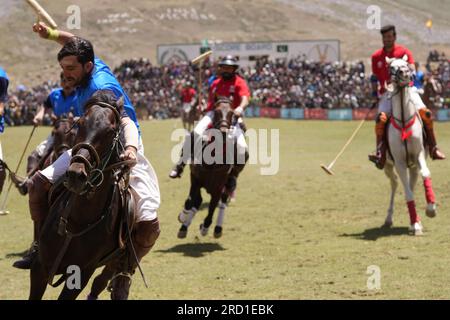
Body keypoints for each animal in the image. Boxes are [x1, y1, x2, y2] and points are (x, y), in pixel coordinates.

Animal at [29, 92, 135, 300]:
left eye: (111, 131)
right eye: (80, 124)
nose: (76, 174)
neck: (77, 220)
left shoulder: (82, 274)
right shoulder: (39, 268)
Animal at [177, 99, 244, 239]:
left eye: (231, 113)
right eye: (216, 111)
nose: (223, 131)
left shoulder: (218, 186)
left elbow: (213, 206)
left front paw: (205, 227)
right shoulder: (195, 179)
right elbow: (190, 201)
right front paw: (183, 217)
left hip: (228, 182)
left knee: (223, 200)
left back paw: (217, 228)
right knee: (198, 201)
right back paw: (184, 226)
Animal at [384, 55, 436, 235]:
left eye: (406, 64)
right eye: (391, 67)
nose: (405, 73)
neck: (404, 120)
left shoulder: (419, 154)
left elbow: (425, 174)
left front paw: (430, 209)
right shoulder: (399, 162)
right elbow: (406, 192)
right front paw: (415, 224)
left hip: (412, 165)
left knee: (411, 183)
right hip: (388, 165)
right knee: (395, 184)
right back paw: (389, 218)